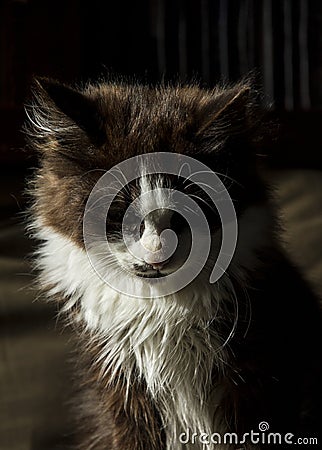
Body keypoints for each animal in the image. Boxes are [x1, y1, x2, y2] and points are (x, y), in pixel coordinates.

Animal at [26, 79, 320, 448]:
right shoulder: (122, 386)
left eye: (186, 214)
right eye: (120, 214)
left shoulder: (255, 381)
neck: (162, 307)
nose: (156, 253)